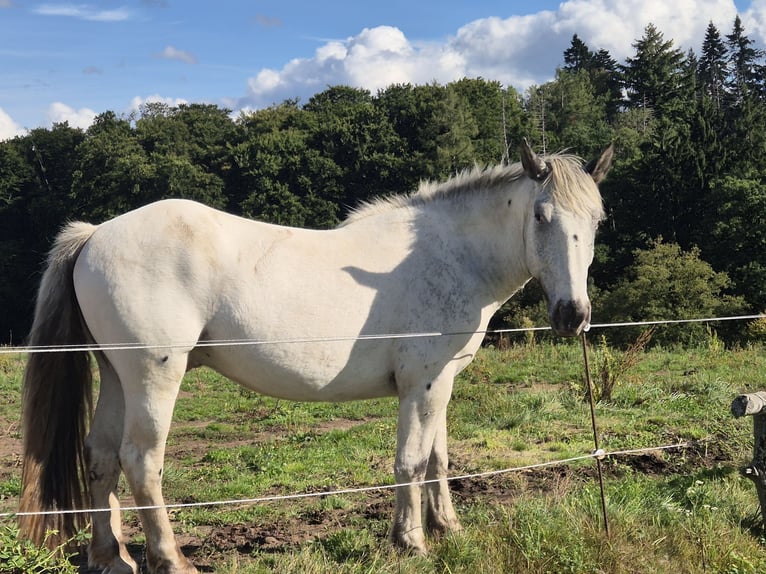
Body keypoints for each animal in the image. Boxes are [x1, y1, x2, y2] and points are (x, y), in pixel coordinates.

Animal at [19, 140, 612, 573]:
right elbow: (411, 461)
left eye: (598, 220)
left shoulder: (439, 383)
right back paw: (172, 561)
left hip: (116, 376)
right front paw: (411, 542)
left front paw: (448, 529)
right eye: (541, 216)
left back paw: (110, 558)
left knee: (100, 457)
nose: (573, 315)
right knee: (141, 462)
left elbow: (438, 459)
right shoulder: (421, 384)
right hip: (152, 377)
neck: (453, 255)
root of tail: (96, 233)